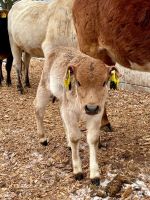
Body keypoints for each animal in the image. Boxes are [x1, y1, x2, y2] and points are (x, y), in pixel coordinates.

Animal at [34, 47, 119, 186]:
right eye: (78, 82)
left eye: (104, 82)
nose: (91, 107)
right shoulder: (70, 112)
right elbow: (75, 137)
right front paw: (77, 171)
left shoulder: (97, 114)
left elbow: (93, 139)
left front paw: (95, 175)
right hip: (44, 87)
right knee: (38, 109)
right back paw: (43, 138)